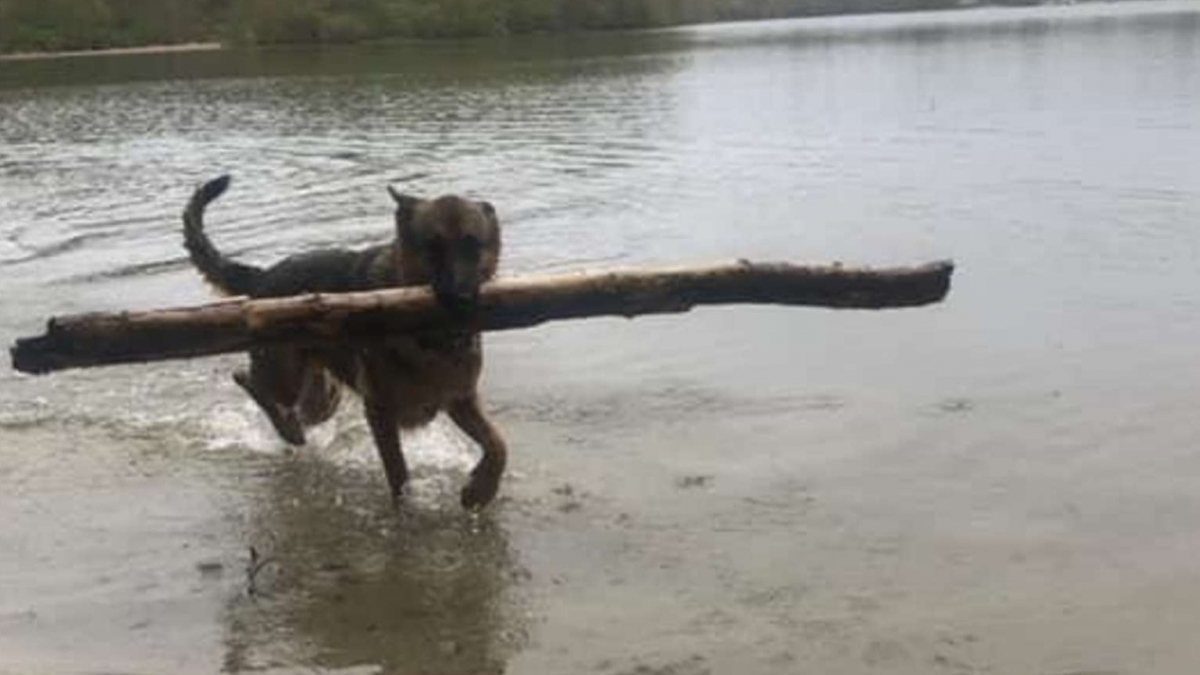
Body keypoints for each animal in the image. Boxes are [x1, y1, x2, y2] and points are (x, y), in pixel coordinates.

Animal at [182, 176, 506, 506]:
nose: (462, 299)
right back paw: (288, 430)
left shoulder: (461, 400)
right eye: (433, 248)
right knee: (251, 383)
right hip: (285, 378)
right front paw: (405, 508)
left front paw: (481, 489)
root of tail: (263, 277)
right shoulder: (379, 412)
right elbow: (398, 473)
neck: (429, 340)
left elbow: (498, 445)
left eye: (472, 246)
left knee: (296, 409)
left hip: (324, 398)